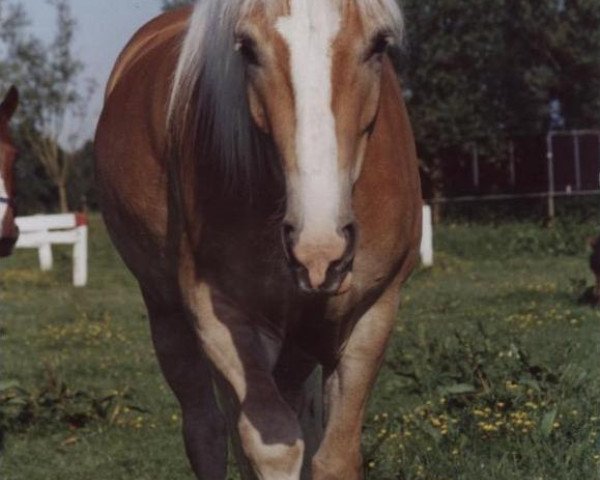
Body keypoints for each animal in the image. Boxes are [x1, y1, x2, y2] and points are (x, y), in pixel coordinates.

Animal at [95, 1, 422, 478]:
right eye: (247, 49)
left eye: (379, 44)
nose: (319, 251)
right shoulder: (222, 317)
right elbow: (272, 446)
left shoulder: (374, 311)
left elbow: (334, 455)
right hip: (168, 316)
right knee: (207, 431)